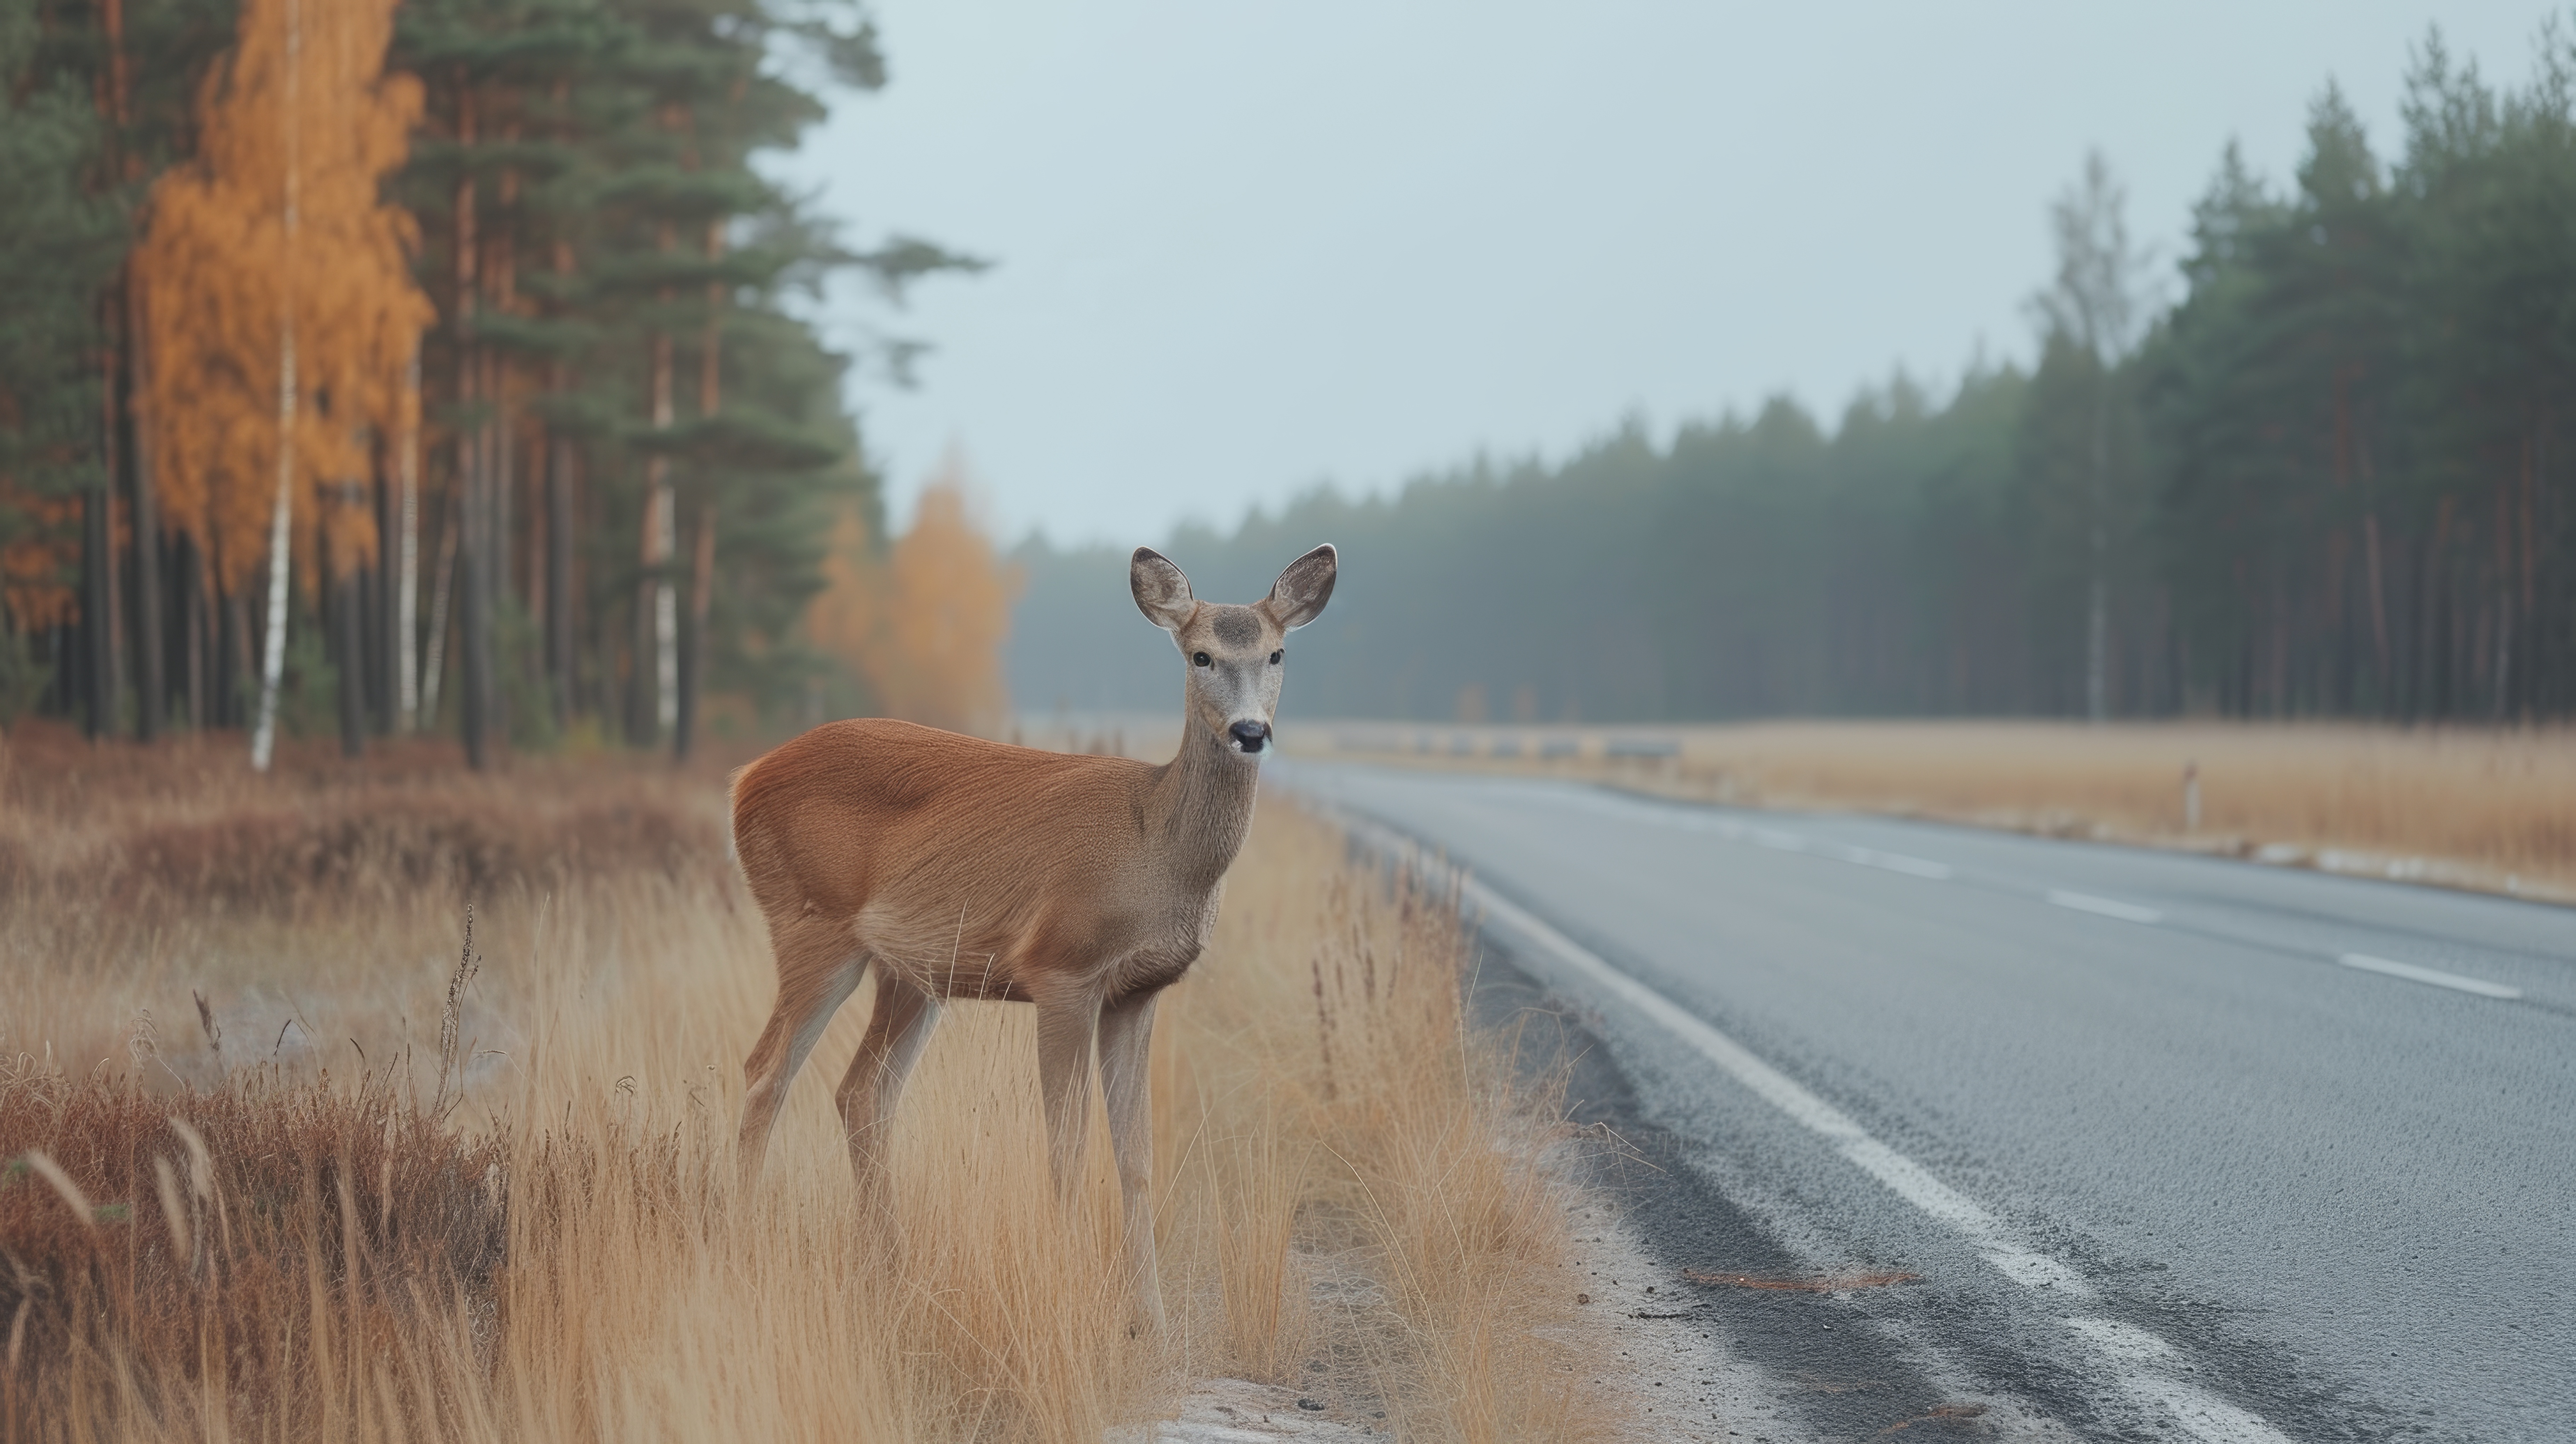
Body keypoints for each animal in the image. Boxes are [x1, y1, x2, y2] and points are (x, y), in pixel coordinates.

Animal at [728, 543, 1338, 1331]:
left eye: (1276, 652)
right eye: (1200, 654)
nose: (1250, 732)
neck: (1155, 848)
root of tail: (744, 780)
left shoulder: (1139, 993)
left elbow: (1136, 1159)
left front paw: (1150, 1319)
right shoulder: (1062, 969)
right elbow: (1066, 1150)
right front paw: (1074, 1300)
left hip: (912, 974)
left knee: (862, 1093)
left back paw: (892, 1273)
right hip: (811, 925)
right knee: (765, 1075)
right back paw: (745, 1251)